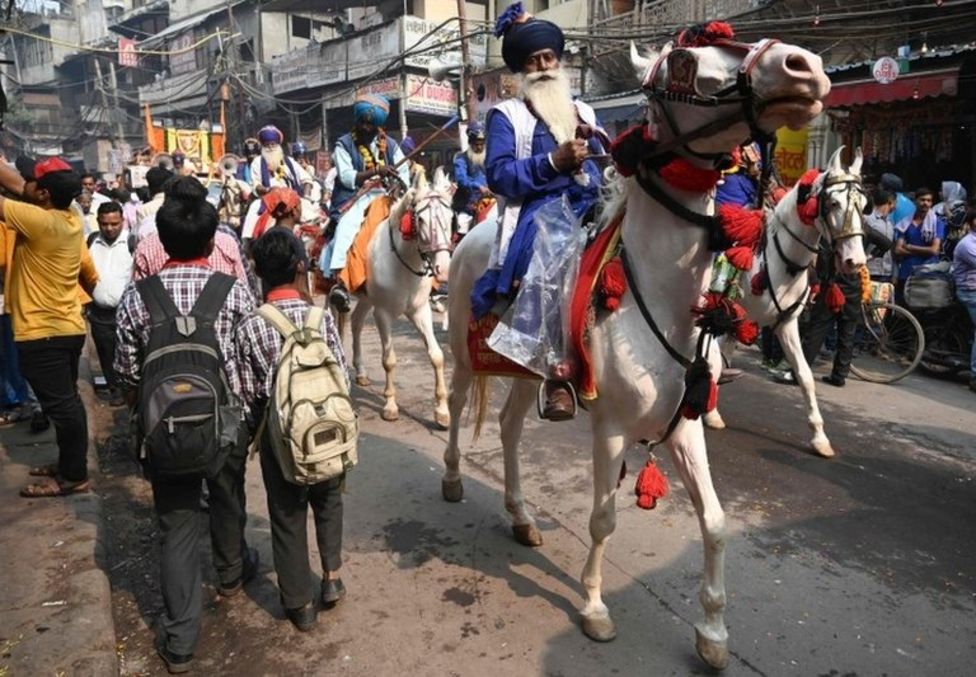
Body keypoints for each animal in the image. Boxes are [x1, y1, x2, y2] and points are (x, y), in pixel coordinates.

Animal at [348, 166, 456, 426]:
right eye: (421, 219)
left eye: (451, 218)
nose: (444, 270)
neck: (404, 262)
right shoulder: (382, 313)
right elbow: (389, 360)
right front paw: (390, 405)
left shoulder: (419, 310)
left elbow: (437, 356)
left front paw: (441, 410)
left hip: (366, 298)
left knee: (356, 322)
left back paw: (361, 371)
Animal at [440, 34, 840, 668]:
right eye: (682, 64)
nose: (803, 67)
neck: (660, 296)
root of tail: (473, 235)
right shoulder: (609, 427)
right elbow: (603, 519)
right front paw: (594, 606)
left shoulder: (685, 423)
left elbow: (717, 522)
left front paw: (713, 632)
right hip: (461, 349)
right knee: (456, 406)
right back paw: (454, 478)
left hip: (528, 368)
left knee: (508, 426)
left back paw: (522, 516)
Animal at [700, 148, 868, 460]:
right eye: (834, 203)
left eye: (864, 204)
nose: (855, 261)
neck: (781, 261)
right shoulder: (725, 315)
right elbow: (711, 359)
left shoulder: (784, 323)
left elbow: (805, 375)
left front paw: (819, 437)